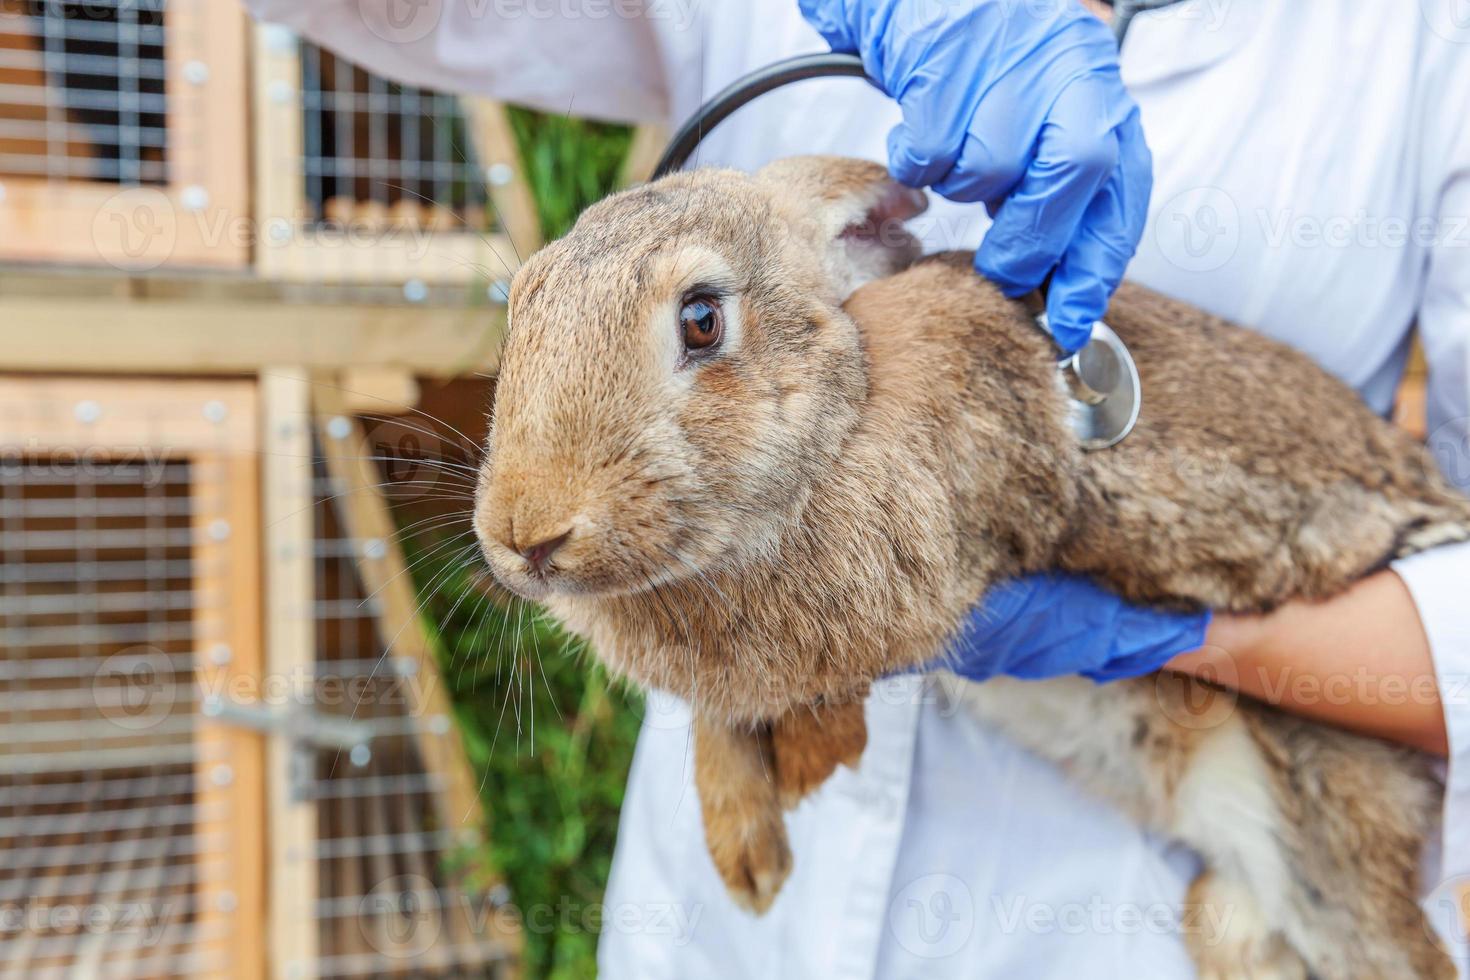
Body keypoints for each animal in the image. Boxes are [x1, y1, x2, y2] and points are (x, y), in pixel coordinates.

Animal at [473, 157, 1470, 975]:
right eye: (517, 308)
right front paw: (749, 862)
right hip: (1231, 918)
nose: (529, 533)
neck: (853, 392)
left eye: (703, 319)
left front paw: (807, 776)